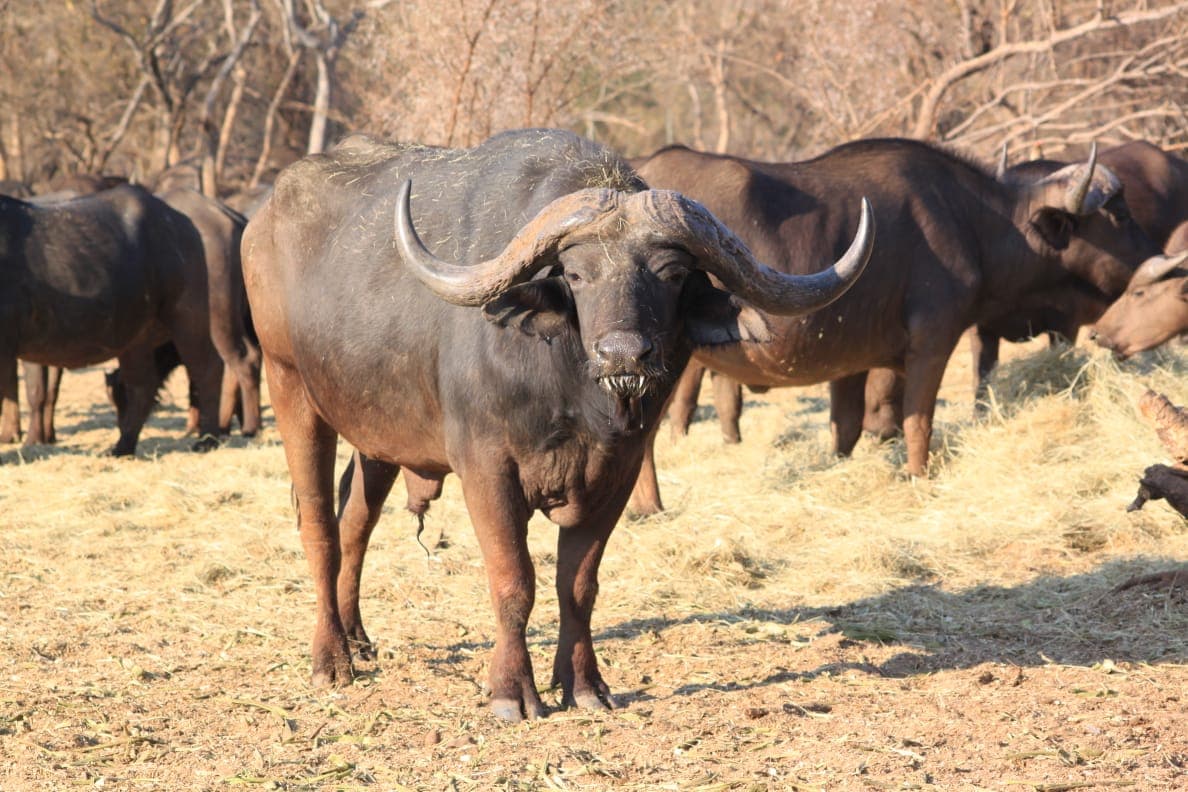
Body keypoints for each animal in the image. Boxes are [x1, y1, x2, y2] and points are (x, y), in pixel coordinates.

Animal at [241, 128, 872, 721]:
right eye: (577, 273)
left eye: (670, 274)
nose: (624, 355)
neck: (570, 397)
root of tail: (263, 219)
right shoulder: (486, 469)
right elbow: (514, 580)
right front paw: (511, 691)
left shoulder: (618, 473)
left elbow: (579, 585)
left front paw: (584, 684)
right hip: (290, 386)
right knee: (319, 527)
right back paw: (331, 659)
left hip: (377, 434)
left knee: (356, 523)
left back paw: (359, 639)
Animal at [630, 138, 1158, 514]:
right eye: (1119, 214)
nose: (1151, 256)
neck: (970, 222)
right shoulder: (932, 344)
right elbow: (916, 421)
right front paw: (918, 476)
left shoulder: (854, 363)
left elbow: (848, 429)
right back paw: (650, 507)